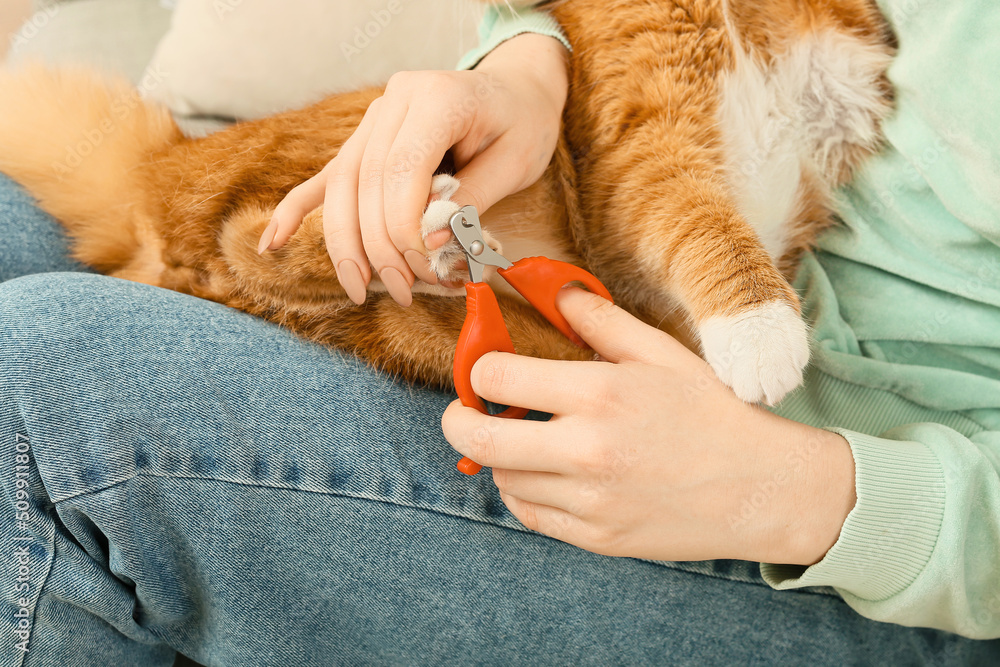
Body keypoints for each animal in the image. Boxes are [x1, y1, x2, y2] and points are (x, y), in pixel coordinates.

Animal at [0, 0, 892, 404]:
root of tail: (162, 164)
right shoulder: (647, 149)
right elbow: (701, 221)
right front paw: (760, 330)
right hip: (392, 141)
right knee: (252, 233)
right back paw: (425, 226)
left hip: (426, 328)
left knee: (260, 255)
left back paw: (432, 258)